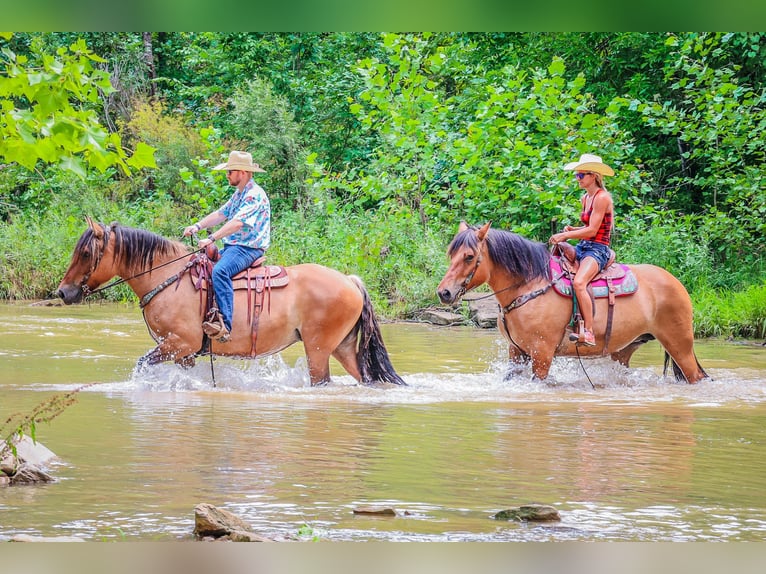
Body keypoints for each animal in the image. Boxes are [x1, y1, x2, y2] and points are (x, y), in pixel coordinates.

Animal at [56, 219, 405, 387]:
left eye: (85, 253)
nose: (62, 292)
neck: (167, 278)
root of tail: (350, 281)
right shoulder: (184, 353)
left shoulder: (177, 344)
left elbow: (141, 365)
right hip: (343, 347)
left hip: (318, 349)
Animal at [437, 222, 708, 384]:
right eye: (451, 254)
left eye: (469, 256)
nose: (444, 293)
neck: (529, 287)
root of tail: (677, 283)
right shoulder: (516, 352)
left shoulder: (542, 354)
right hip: (625, 350)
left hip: (680, 346)